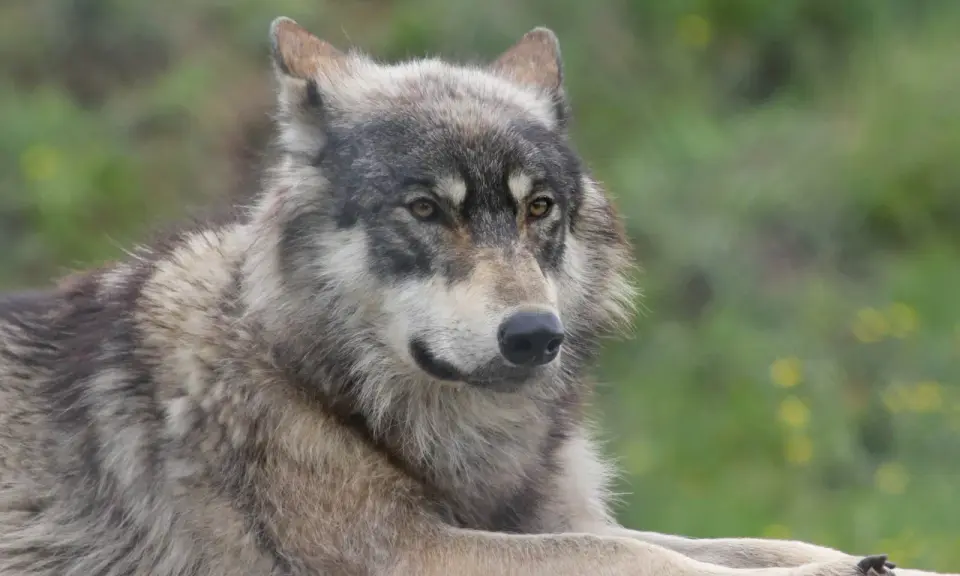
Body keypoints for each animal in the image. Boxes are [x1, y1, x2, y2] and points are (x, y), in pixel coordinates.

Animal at [0, 16, 951, 576]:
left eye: (539, 208)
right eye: (427, 209)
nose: (535, 335)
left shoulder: (544, 514)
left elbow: (749, 544)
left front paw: (870, 563)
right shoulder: (406, 551)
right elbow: (627, 556)